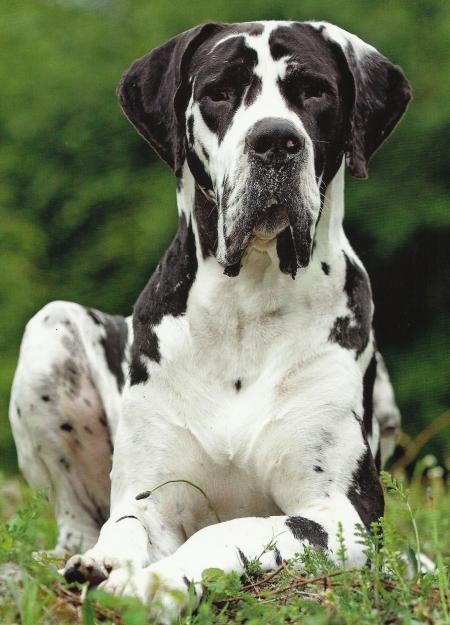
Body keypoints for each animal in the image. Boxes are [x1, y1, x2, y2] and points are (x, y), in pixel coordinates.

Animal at [7, 19, 408, 620]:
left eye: (314, 91)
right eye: (219, 91)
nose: (275, 140)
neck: (247, 307)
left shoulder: (344, 514)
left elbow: (235, 529)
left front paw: (157, 583)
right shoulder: (150, 496)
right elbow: (125, 526)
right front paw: (111, 564)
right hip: (49, 331)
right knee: (79, 526)